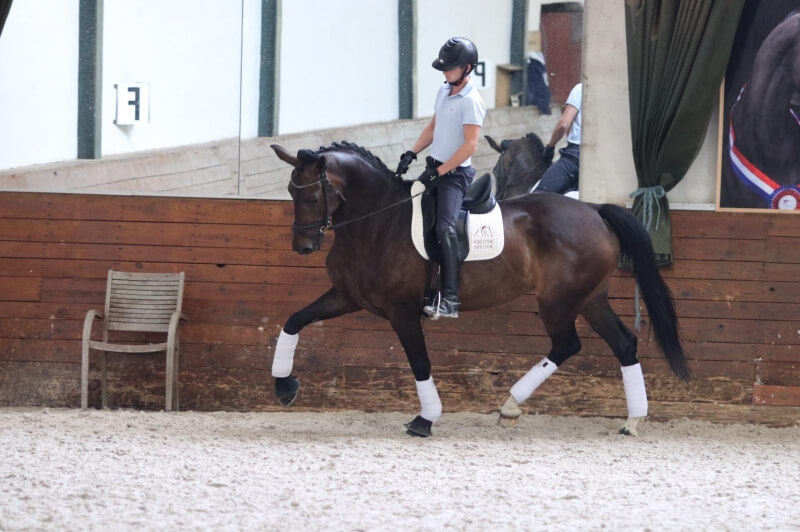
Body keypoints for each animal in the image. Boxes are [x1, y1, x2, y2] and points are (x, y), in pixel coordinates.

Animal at [269, 141, 689, 438]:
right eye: (290, 192)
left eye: (311, 196)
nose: (302, 246)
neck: (377, 223)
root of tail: (595, 210)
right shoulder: (346, 297)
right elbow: (293, 321)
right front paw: (284, 386)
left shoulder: (402, 312)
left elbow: (420, 363)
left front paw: (425, 420)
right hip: (590, 299)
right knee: (623, 344)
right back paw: (632, 421)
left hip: (558, 301)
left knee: (567, 344)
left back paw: (510, 405)